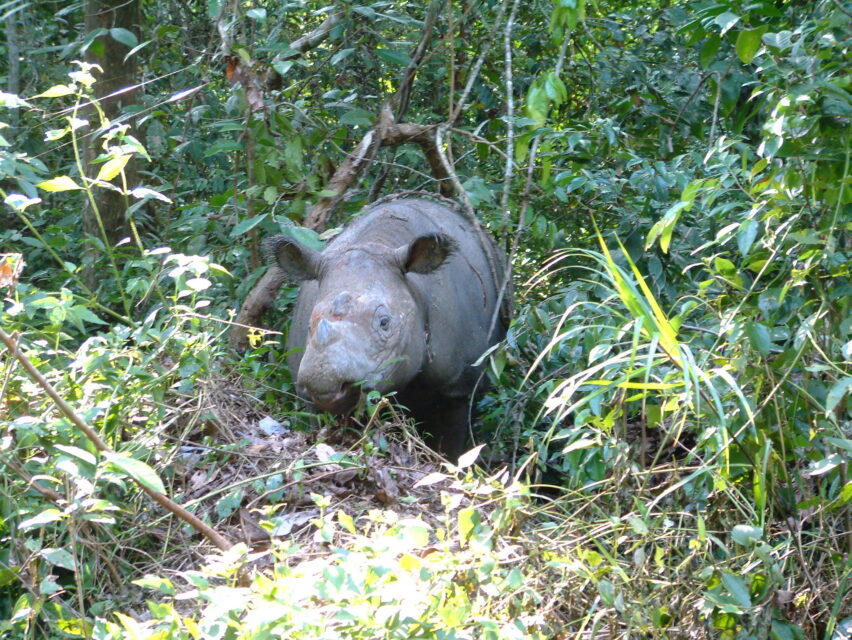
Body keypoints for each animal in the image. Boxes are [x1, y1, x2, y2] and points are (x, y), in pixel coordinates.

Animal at [265, 194, 509, 459]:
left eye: (384, 323)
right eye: (310, 324)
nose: (323, 381)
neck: (378, 243)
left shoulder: (458, 386)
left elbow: (451, 446)